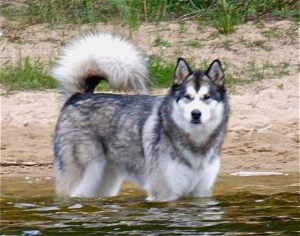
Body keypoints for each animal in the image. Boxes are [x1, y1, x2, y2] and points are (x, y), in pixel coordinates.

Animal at [52, 32, 230, 201]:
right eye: (188, 96)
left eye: (206, 97)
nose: (196, 113)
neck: (196, 143)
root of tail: (78, 96)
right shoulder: (164, 192)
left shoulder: (200, 193)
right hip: (80, 180)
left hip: (101, 185)